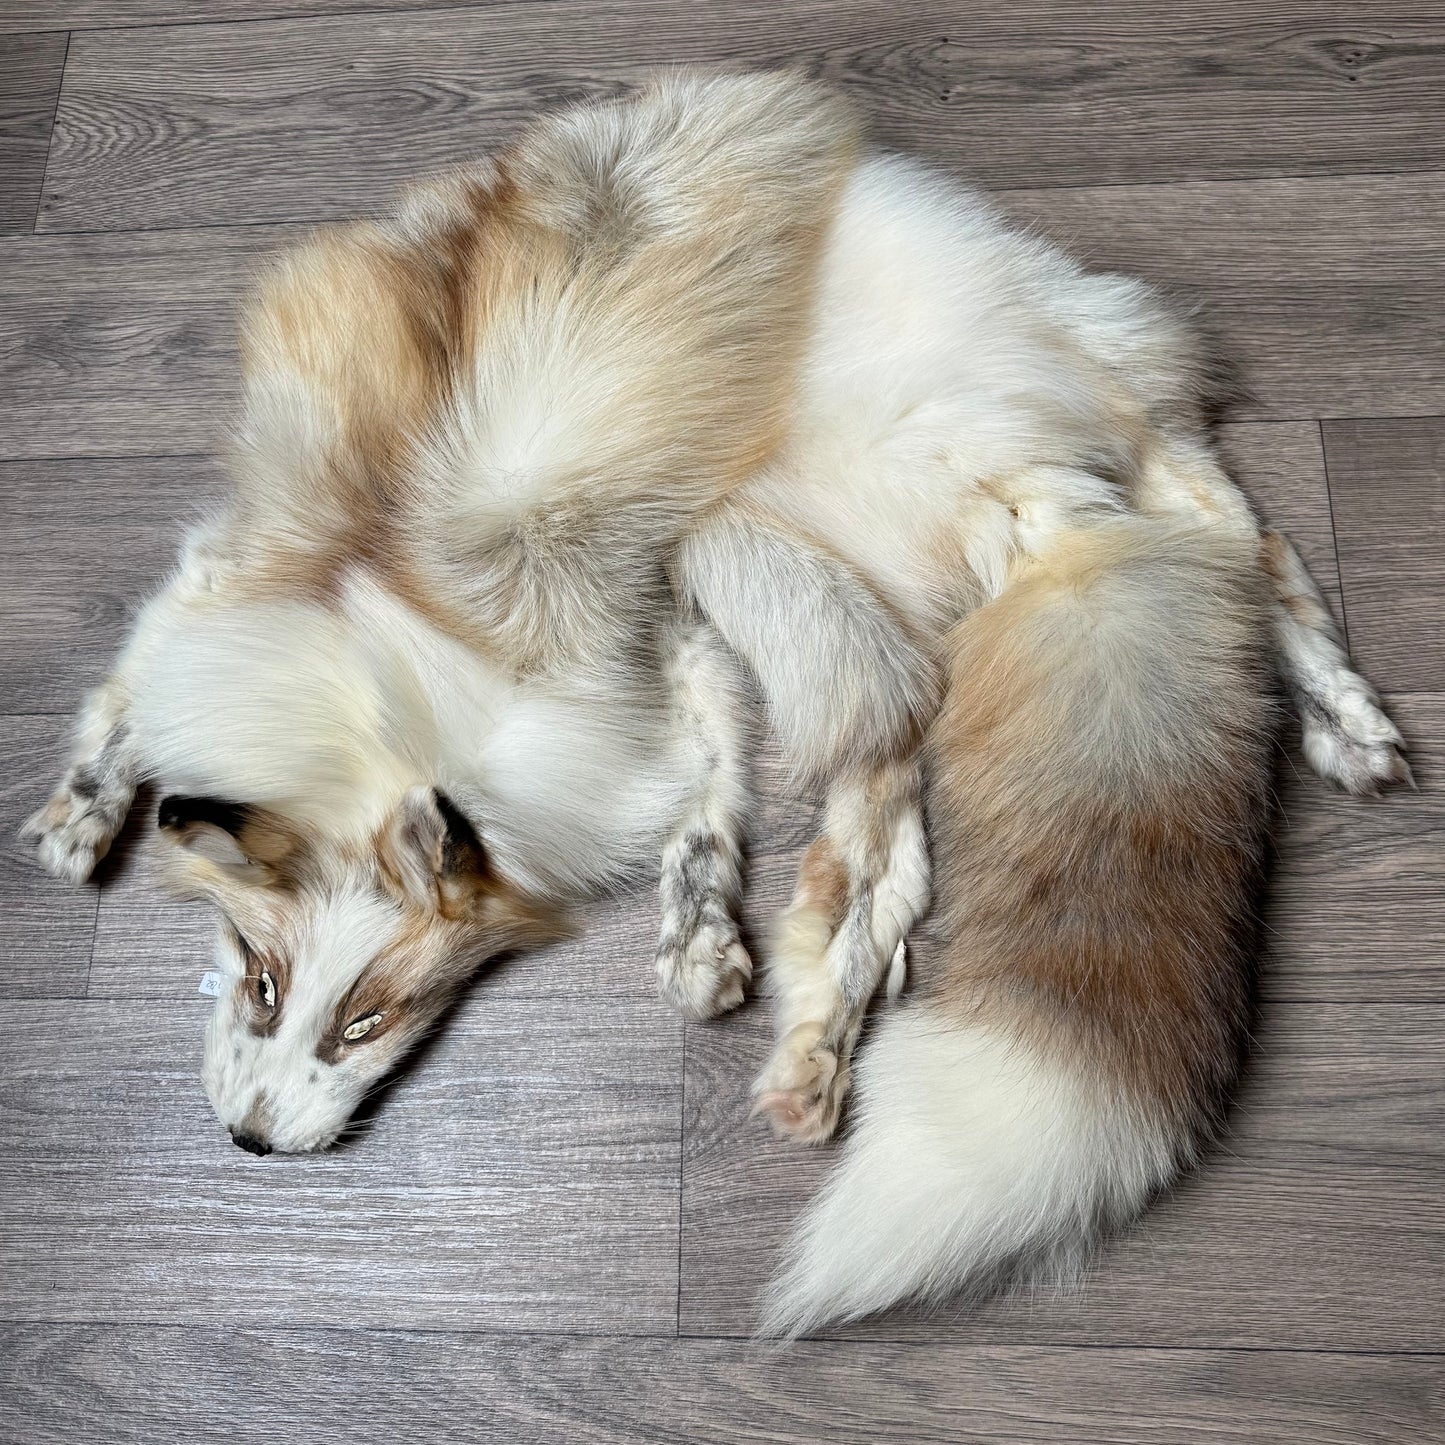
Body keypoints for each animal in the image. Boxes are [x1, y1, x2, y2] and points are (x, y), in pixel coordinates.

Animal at [23, 72, 1405, 1326]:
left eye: (370, 1019)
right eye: (260, 985)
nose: (250, 1145)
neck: (402, 638)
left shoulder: (506, 615)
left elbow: (134, 681)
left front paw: (82, 806)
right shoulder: (638, 619)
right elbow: (708, 781)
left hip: (879, 518)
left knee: (1223, 530)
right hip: (806, 579)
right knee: (924, 818)